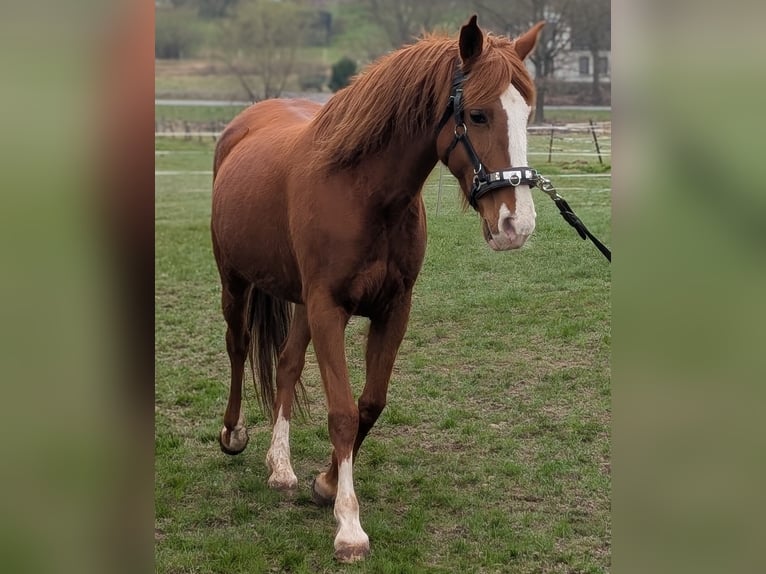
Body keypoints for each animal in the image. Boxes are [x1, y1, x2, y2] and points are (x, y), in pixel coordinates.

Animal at [210, 15, 544, 563]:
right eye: (477, 115)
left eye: (526, 114)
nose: (516, 226)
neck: (362, 191)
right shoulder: (329, 309)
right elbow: (343, 413)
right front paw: (349, 526)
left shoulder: (392, 308)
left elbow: (370, 403)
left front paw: (325, 483)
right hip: (234, 280)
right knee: (238, 348)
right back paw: (234, 433)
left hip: (298, 301)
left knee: (286, 364)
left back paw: (280, 466)